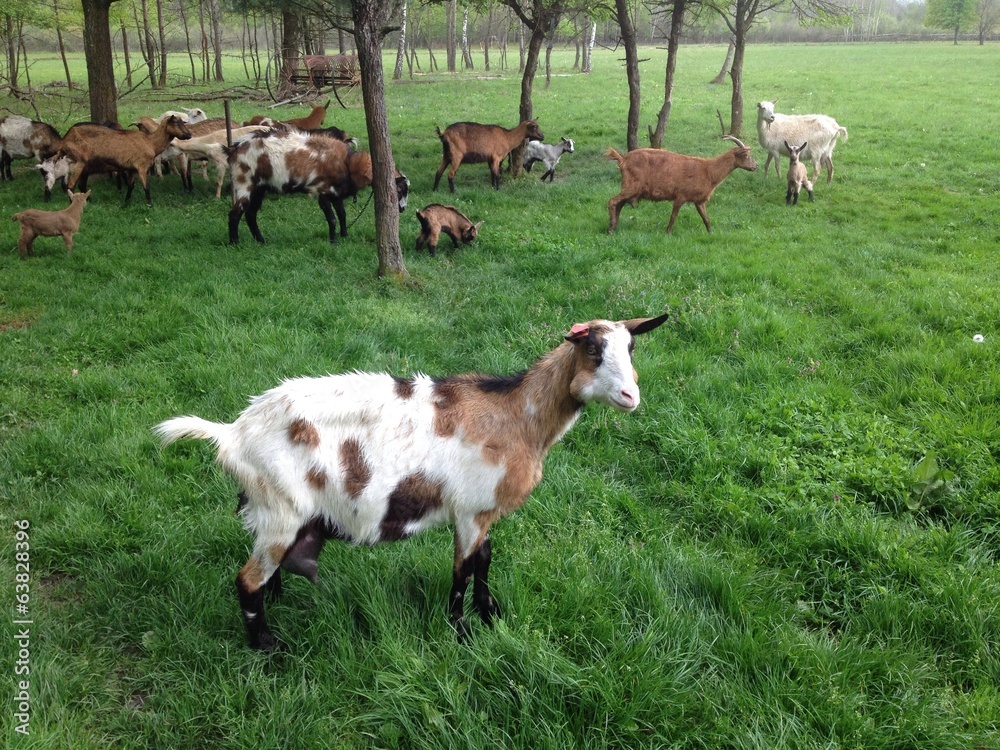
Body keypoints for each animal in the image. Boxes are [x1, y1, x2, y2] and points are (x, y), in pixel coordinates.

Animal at [57, 116, 192, 205]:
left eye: (183, 122)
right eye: (176, 123)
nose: (189, 135)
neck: (151, 143)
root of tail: (65, 139)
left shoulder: (132, 169)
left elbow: (130, 187)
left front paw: (126, 204)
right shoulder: (142, 166)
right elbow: (146, 188)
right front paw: (150, 205)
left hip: (87, 166)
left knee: (81, 185)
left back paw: (90, 201)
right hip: (79, 162)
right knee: (71, 185)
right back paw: (73, 204)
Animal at [154, 313, 670, 650]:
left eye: (632, 348)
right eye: (593, 349)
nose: (631, 396)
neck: (516, 416)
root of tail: (233, 433)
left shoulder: (483, 511)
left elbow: (485, 562)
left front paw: (491, 614)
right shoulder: (469, 511)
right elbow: (462, 571)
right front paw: (460, 632)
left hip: (273, 515)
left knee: (264, 575)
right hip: (280, 509)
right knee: (246, 581)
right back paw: (268, 647)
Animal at [227, 130, 409, 245]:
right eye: (399, 190)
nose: (403, 209)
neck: (349, 163)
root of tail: (235, 150)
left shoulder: (336, 194)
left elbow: (342, 215)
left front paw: (344, 236)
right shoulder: (322, 192)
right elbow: (333, 218)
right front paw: (333, 241)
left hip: (260, 188)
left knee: (250, 214)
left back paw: (261, 241)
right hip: (245, 183)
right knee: (235, 214)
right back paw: (235, 243)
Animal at [607, 136, 758, 234]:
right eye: (746, 155)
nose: (756, 166)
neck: (708, 171)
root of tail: (622, 160)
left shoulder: (699, 201)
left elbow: (706, 218)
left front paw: (711, 233)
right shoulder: (680, 196)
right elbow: (673, 216)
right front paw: (667, 232)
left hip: (631, 188)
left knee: (619, 204)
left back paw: (614, 226)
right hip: (632, 186)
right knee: (613, 201)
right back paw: (611, 229)